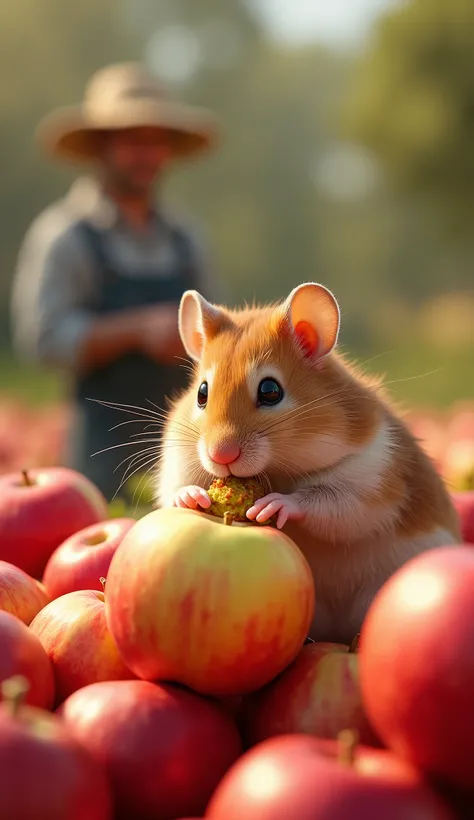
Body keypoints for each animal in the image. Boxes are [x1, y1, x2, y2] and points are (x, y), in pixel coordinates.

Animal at [157, 286, 462, 644]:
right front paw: (192, 497)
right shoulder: (178, 461)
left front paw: (271, 506)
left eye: (270, 390)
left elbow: (325, 502)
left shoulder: (369, 478)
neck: (280, 469)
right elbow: (175, 488)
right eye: (202, 393)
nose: (221, 455)